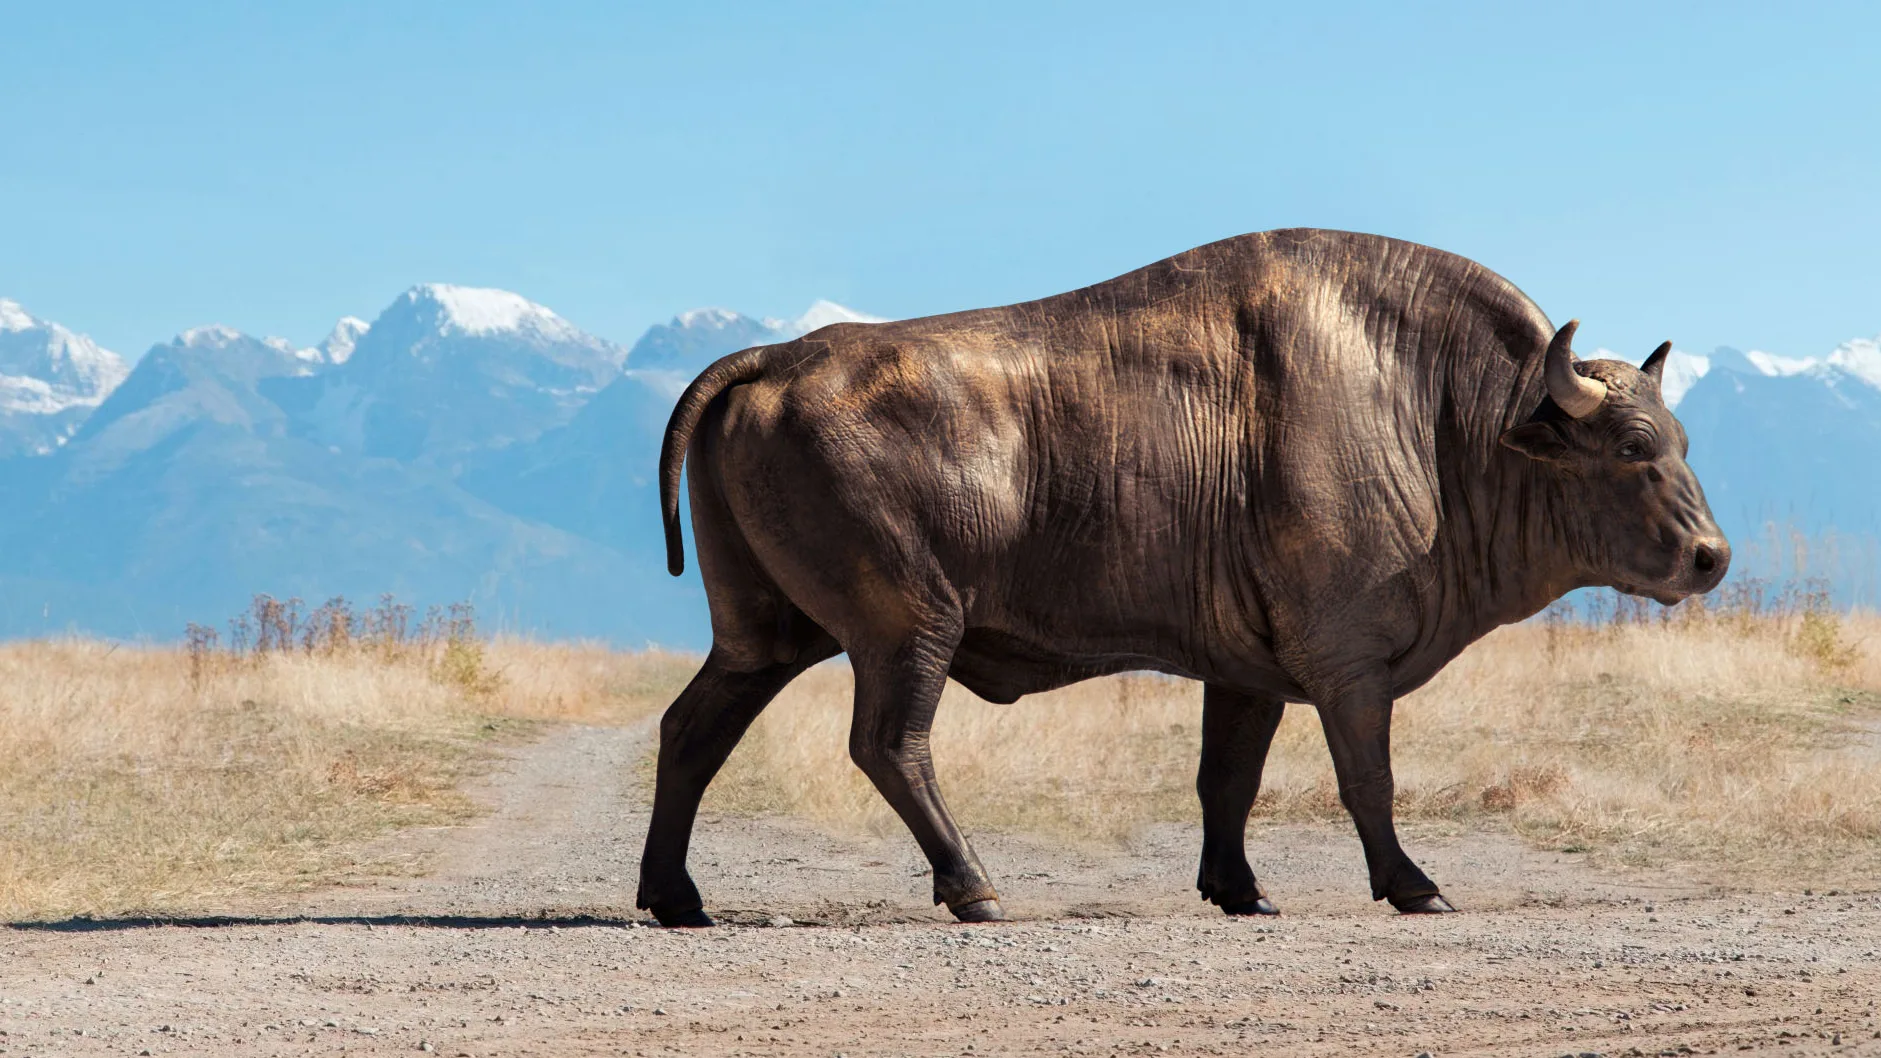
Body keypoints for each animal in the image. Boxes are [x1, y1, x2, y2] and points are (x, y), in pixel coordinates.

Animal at [636, 228, 1729, 925]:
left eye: (1681, 439)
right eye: (1632, 446)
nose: (1710, 556)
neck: (1441, 412)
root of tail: (780, 356)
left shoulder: (1247, 673)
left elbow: (1226, 779)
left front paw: (1242, 891)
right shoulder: (1347, 667)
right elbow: (1365, 777)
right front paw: (1417, 885)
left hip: (765, 633)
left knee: (694, 729)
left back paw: (676, 899)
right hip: (908, 632)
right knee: (889, 745)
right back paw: (976, 890)